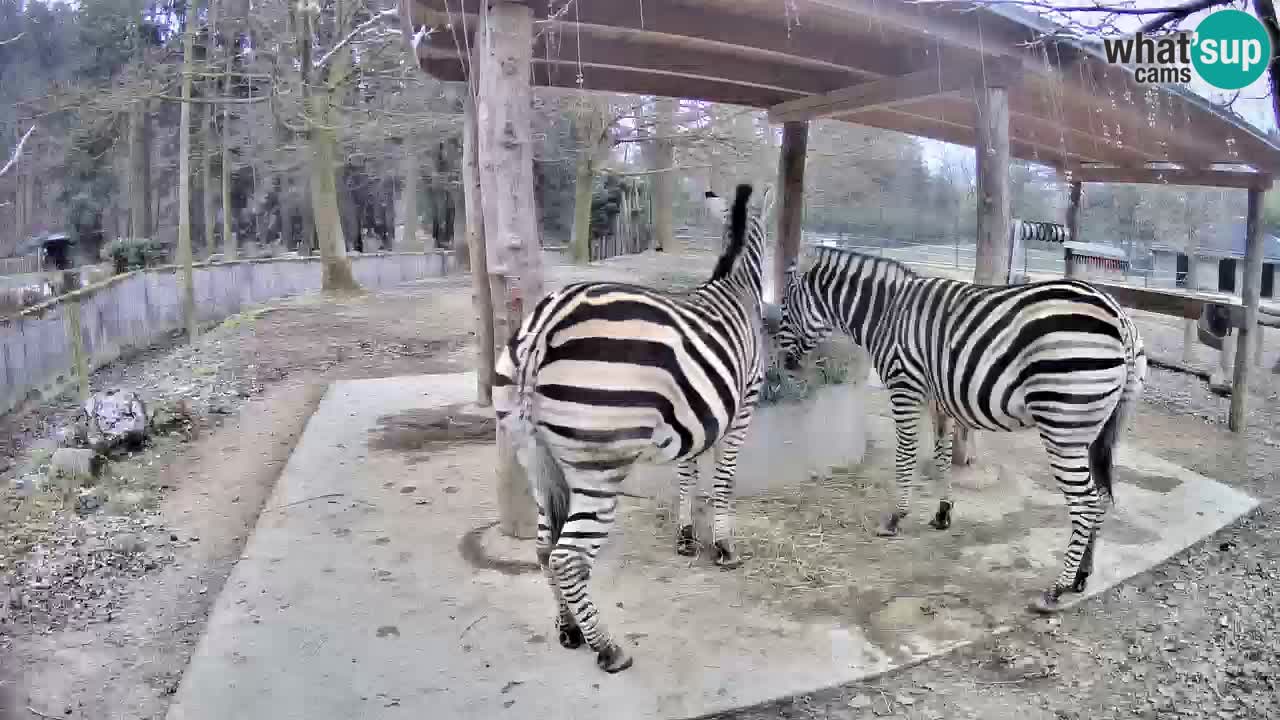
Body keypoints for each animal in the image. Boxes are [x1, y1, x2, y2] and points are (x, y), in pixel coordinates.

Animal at [488, 181, 768, 671]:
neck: (735, 285)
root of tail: (543, 326)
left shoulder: (698, 417)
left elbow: (688, 474)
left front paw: (686, 537)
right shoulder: (742, 408)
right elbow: (724, 481)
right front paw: (724, 547)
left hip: (534, 455)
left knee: (544, 546)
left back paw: (569, 629)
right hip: (600, 464)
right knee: (568, 556)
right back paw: (607, 647)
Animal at [773, 245, 1146, 609]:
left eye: (785, 304)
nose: (782, 365)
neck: (886, 313)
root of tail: (1120, 317)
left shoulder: (905, 386)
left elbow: (906, 454)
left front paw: (895, 518)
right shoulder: (939, 399)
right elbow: (941, 455)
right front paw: (942, 513)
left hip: (1063, 427)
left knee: (1086, 502)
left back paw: (1056, 589)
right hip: (1099, 429)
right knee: (1101, 496)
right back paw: (1082, 575)